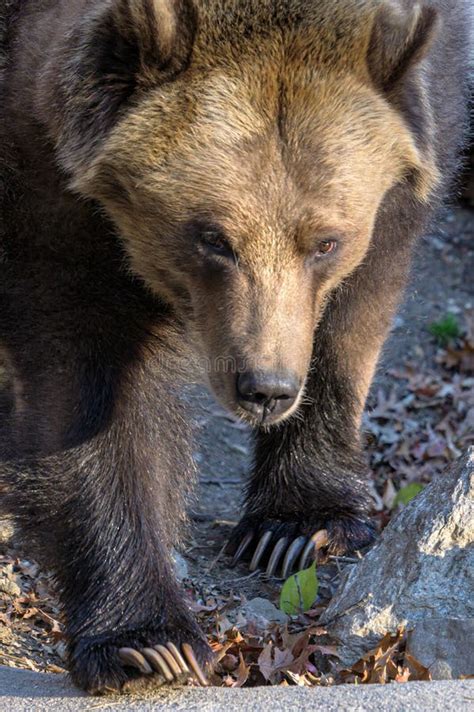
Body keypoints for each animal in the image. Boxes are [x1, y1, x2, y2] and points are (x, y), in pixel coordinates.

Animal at [0, 0, 468, 692]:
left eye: (325, 241)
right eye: (212, 237)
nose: (265, 388)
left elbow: (353, 313)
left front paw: (296, 527)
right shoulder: (45, 179)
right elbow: (84, 387)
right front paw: (148, 642)